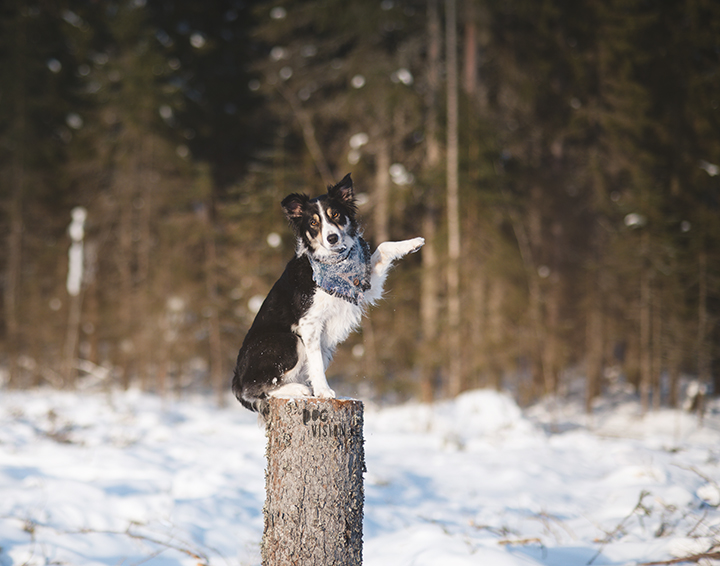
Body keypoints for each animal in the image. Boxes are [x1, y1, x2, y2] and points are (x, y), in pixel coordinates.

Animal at [232, 173, 422, 418]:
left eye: (336, 215)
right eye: (313, 222)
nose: (332, 238)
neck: (333, 263)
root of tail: (236, 380)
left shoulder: (364, 285)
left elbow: (384, 246)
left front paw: (413, 243)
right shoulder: (309, 323)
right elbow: (316, 363)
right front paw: (323, 391)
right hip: (288, 340)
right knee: (257, 387)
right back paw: (299, 389)